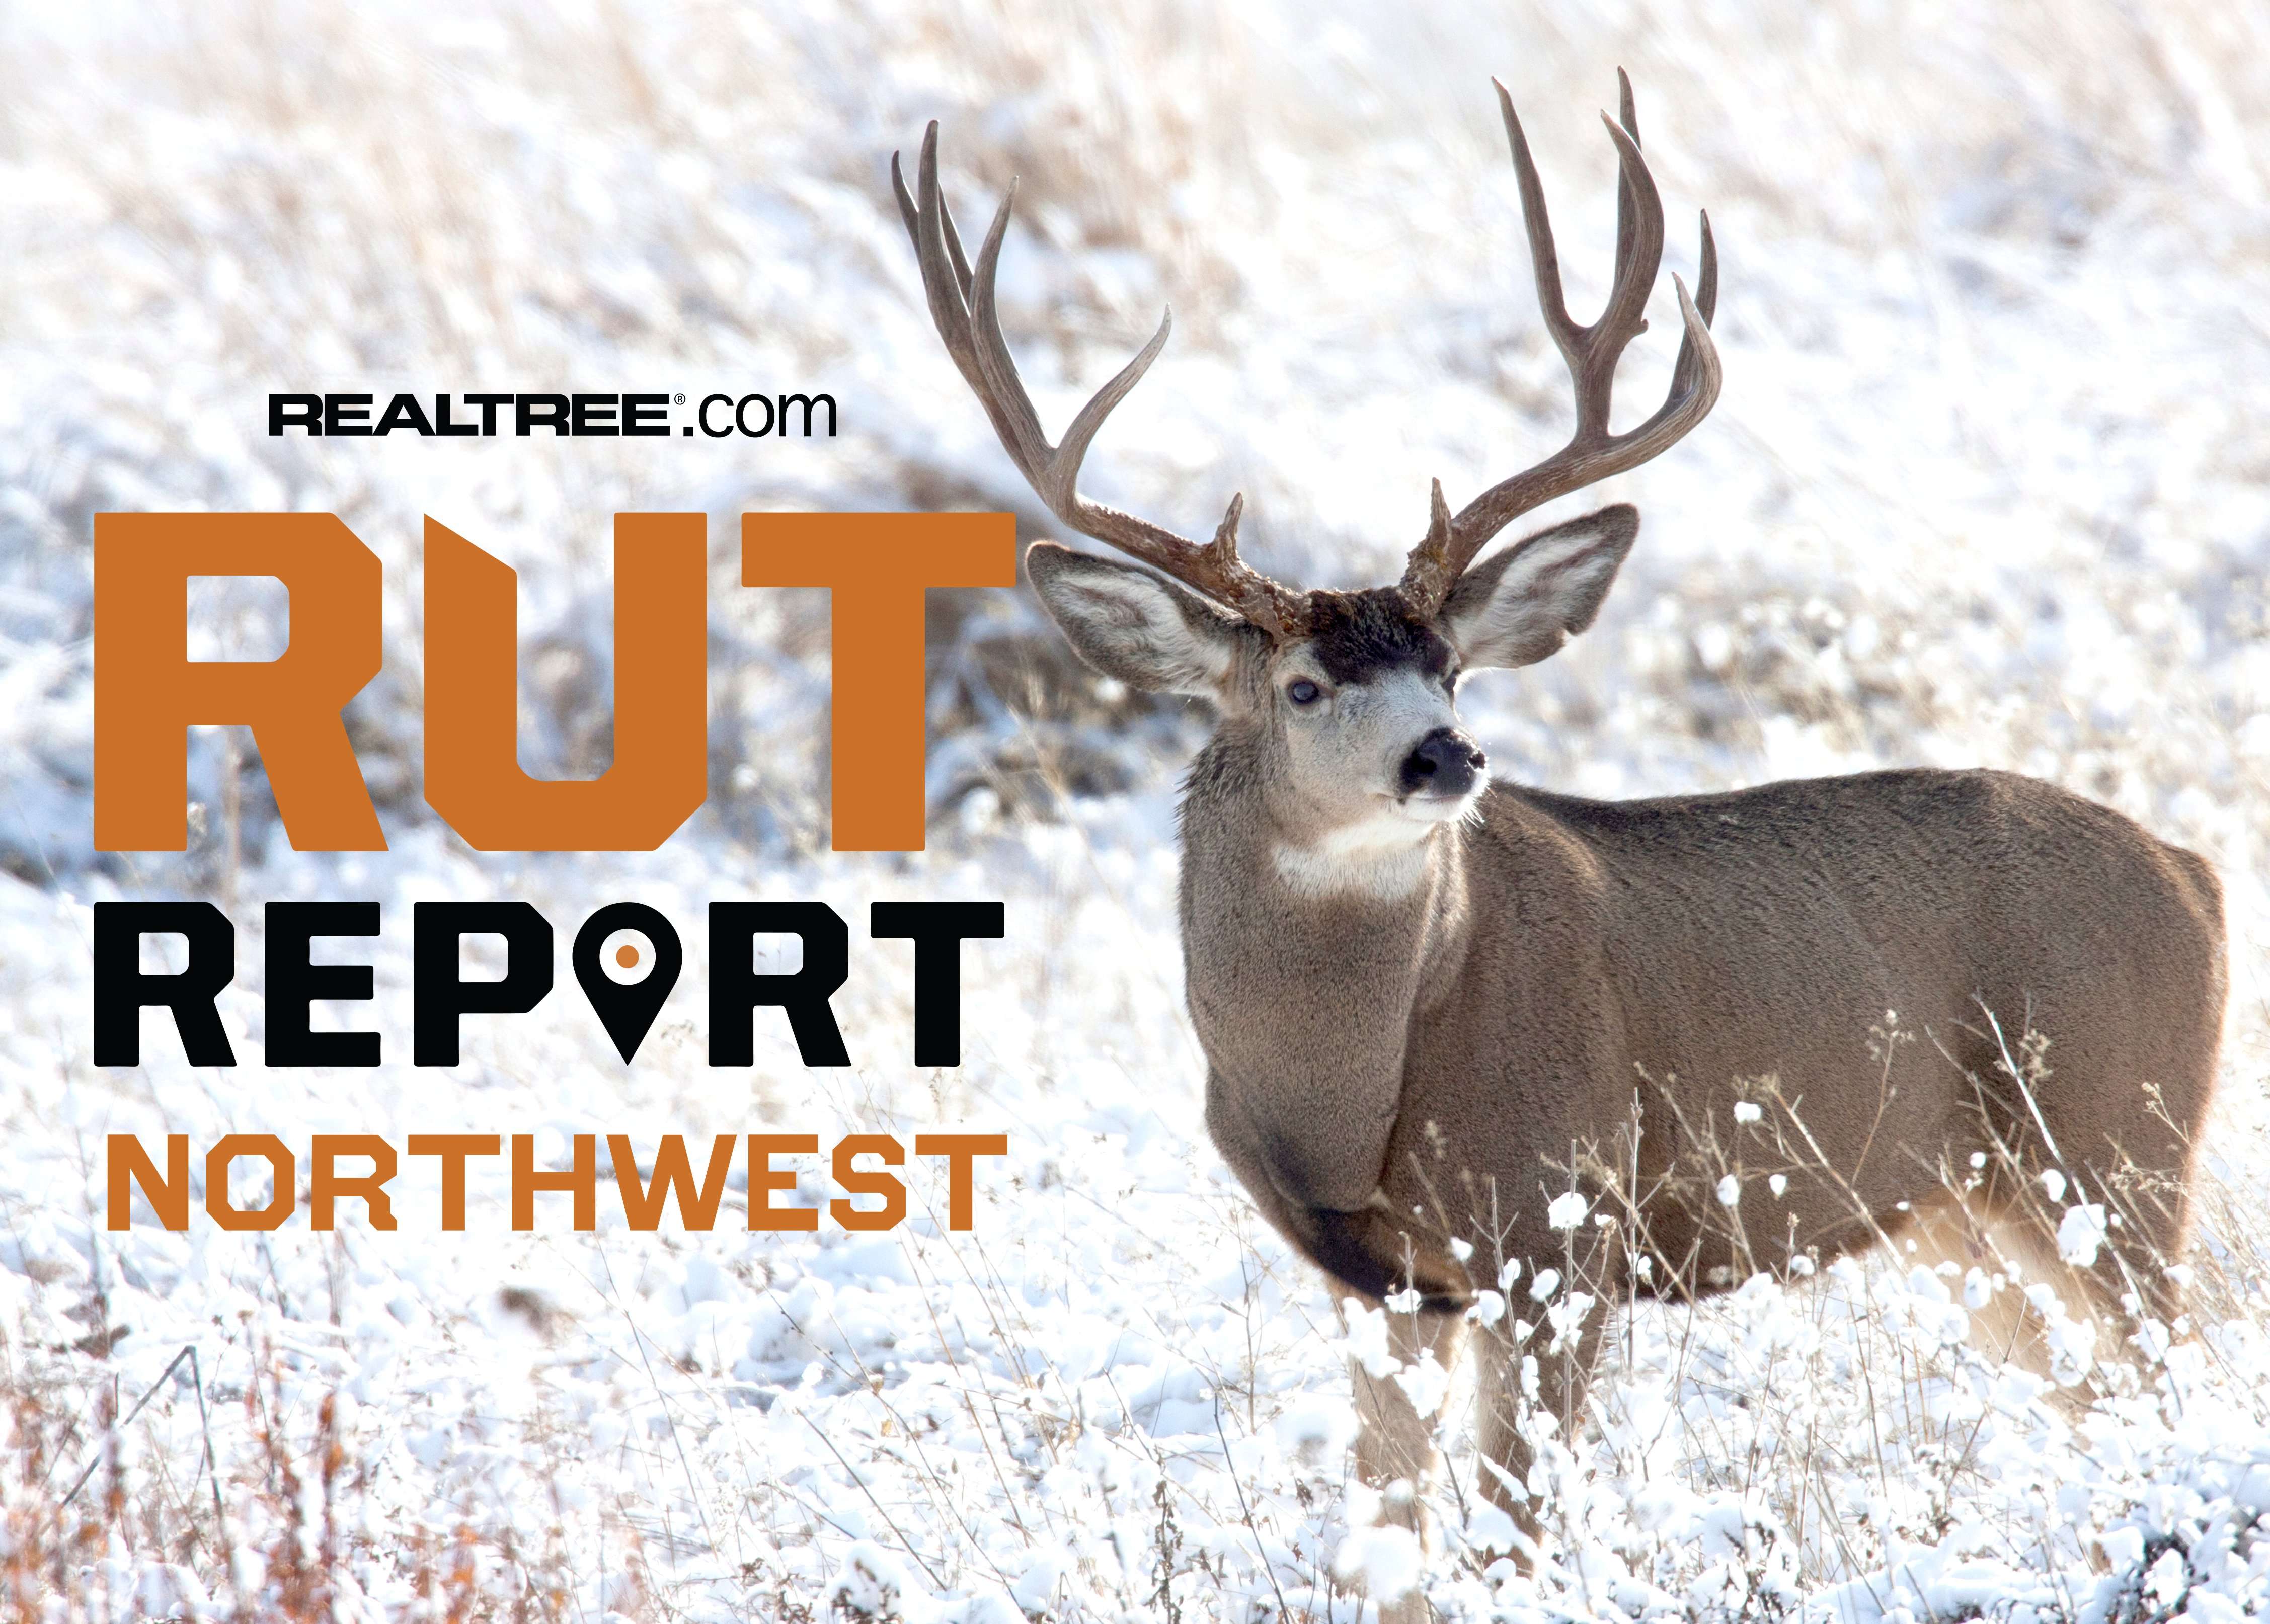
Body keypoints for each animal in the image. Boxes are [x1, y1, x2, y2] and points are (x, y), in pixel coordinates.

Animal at [893, 74, 2227, 1598]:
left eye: (1453, 670)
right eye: (1302, 686)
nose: (1445, 754)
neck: (1352, 1087)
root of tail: (2194, 873)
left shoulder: (1561, 1231)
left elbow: (1511, 1535)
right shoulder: (1377, 1285)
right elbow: (1384, 1544)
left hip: (2111, 1137)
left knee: (2168, 1368)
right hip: (1964, 1213)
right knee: (2090, 1392)